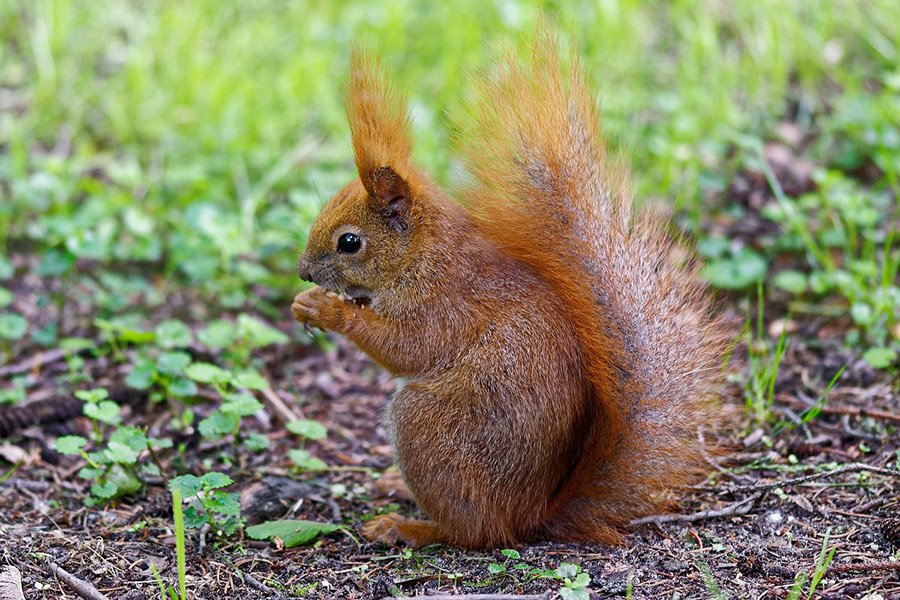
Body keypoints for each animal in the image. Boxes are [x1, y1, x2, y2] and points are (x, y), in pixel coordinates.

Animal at [292, 31, 728, 548]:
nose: (303, 272)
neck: (423, 254)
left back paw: (407, 525)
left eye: (349, 242)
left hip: (427, 429)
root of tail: (532, 514)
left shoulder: (443, 306)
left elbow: (405, 348)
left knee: (474, 530)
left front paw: (329, 311)